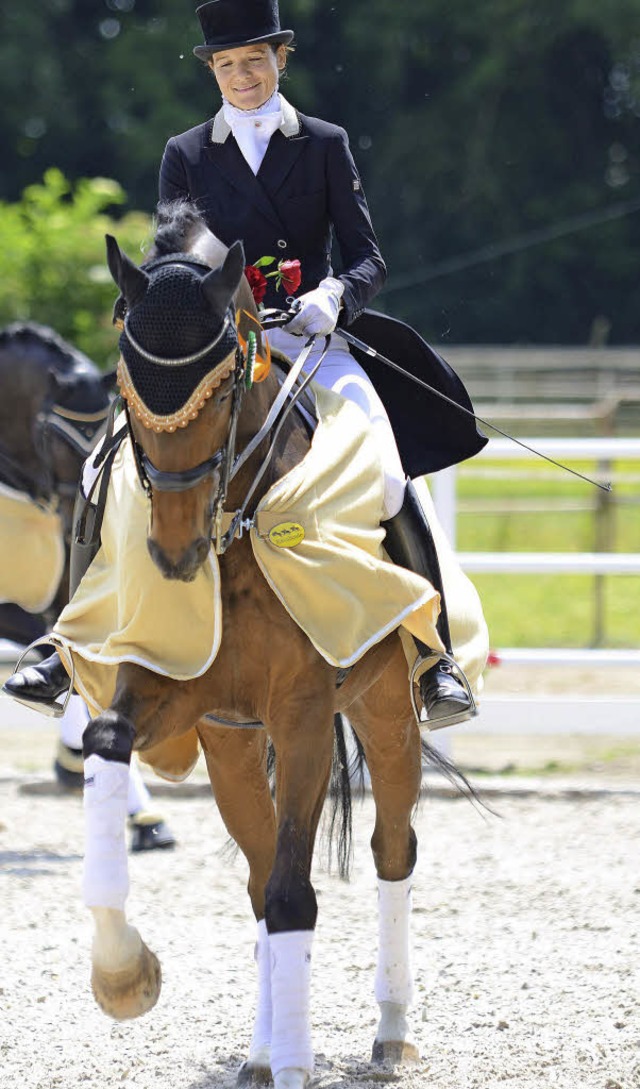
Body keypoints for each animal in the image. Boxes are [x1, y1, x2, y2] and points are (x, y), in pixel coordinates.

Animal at [59, 205, 450, 1089]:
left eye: (224, 386)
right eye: (126, 392)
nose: (172, 556)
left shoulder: (302, 715)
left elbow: (296, 893)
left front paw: (305, 1061)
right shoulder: (169, 687)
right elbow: (107, 742)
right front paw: (122, 975)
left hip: (384, 707)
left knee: (391, 849)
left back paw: (390, 1032)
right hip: (232, 743)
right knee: (258, 872)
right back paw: (264, 1052)